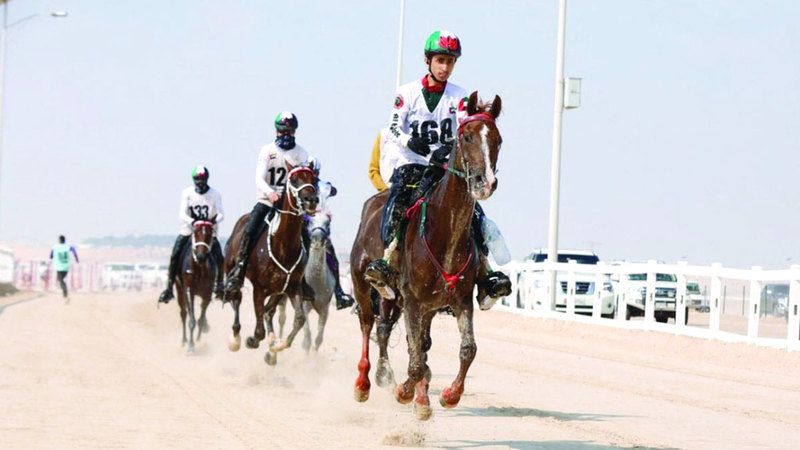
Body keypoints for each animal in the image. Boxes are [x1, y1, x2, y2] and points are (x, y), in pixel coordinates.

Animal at [176, 216, 219, 354]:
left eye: (210, 234)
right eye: (195, 232)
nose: (200, 256)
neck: (199, 268)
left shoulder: (207, 293)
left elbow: (200, 319)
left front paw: (198, 339)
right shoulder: (189, 290)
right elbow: (192, 320)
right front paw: (190, 346)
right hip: (179, 290)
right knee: (183, 313)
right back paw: (183, 340)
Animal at [222, 165, 318, 366]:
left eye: (313, 179)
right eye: (294, 179)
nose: (311, 200)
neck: (283, 244)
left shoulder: (292, 287)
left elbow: (298, 319)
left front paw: (276, 346)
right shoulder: (259, 289)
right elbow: (259, 330)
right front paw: (253, 341)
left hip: (279, 290)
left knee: (269, 311)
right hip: (231, 270)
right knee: (236, 297)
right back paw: (235, 339)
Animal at [348, 92, 500, 422]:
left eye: (497, 139)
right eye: (467, 136)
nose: (484, 182)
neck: (446, 231)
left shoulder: (458, 300)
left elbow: (466, 349)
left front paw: (448, 395)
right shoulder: (413, 301)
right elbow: (416, 359)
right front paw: (406, 392)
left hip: (418, 304)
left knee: (409, 339)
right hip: (364, 286)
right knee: (368, 325)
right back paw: (364, 383)